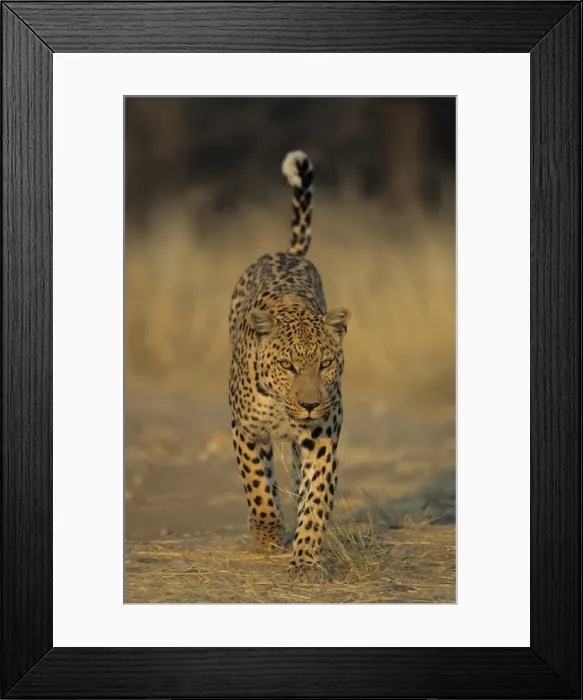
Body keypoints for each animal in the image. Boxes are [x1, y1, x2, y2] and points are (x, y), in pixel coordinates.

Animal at [228, 150, 350, 582]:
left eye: (325, 363)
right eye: (287, 365)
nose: (311, 404)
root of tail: (288, 254)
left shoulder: (322, 438)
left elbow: (315, 499)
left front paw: (306, 558)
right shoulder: (245, 429)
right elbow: (257, 486)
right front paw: (267, 534)